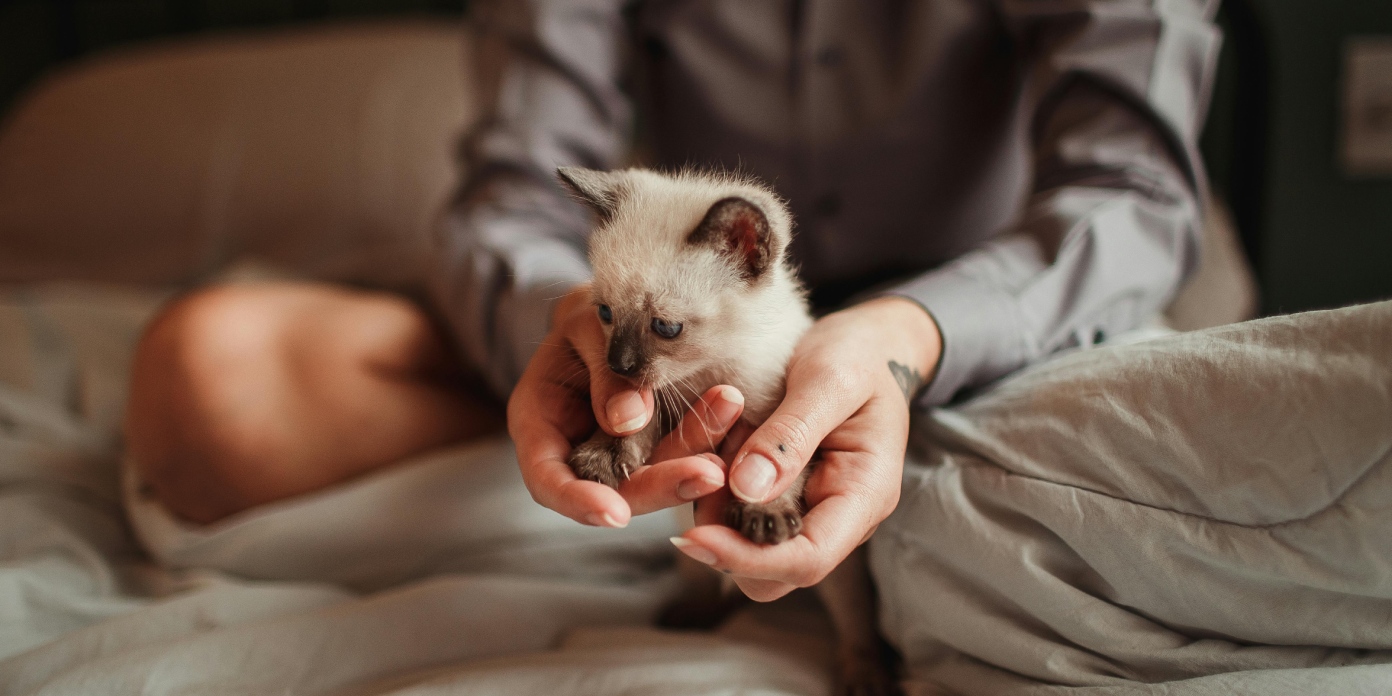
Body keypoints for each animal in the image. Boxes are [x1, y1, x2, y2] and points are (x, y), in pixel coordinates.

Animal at [556, 167, 896, 696]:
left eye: (666, 327)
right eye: (605, 314)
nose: (619, 365)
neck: (707, 373)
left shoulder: (775, 416)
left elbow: (773, 466)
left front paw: (765, 512)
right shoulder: (663, 401)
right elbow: (638, 421)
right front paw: (605, 455)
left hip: (840, 578)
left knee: (853, 613)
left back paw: (866, 676)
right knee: (701, 575)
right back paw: (694, 612)